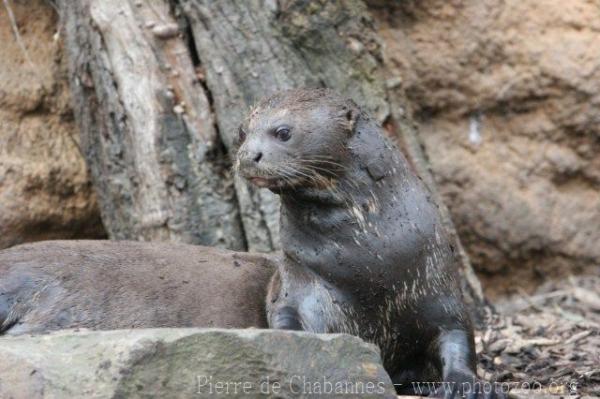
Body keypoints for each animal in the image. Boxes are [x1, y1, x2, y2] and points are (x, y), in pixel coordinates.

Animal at [237, 89, 504, 398]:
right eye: (242, 132)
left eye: (283, 132)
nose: (247, 156)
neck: (369, 265)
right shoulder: (298, 285)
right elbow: (288, 323)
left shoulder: (438, 284)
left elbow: (458, 333)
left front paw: (464, 385)